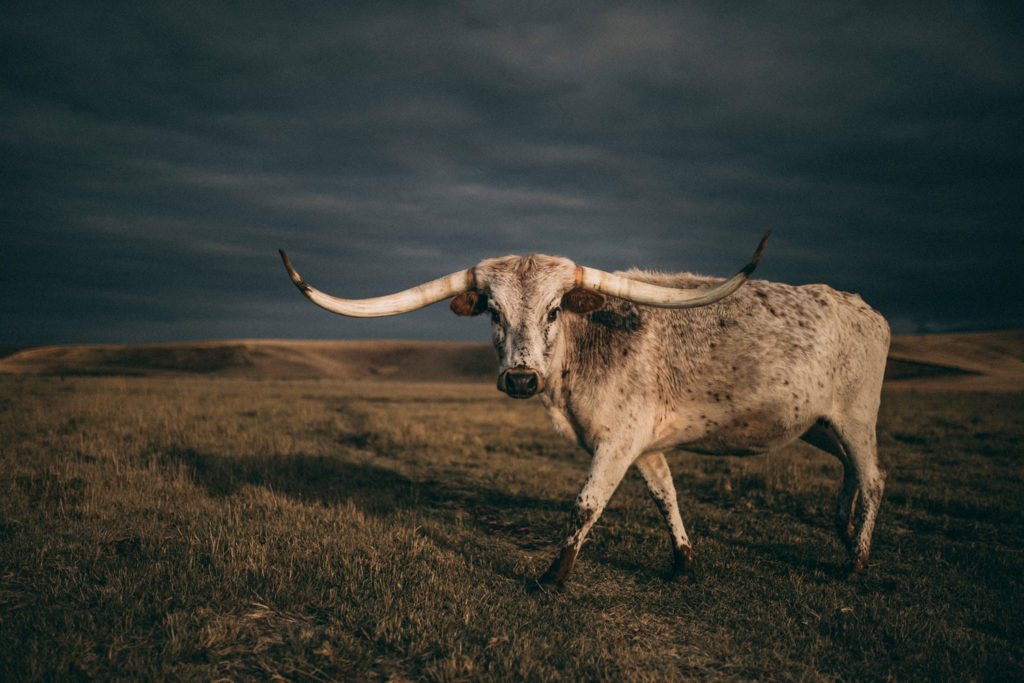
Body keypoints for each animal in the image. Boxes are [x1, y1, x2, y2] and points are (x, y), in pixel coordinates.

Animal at [279, 234, 890, 588]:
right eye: (493, 312)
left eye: (554, 310)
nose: (521, 378)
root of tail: (868, 310)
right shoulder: (642, 445)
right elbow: (665, 495)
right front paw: (682, 562)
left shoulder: (618, 441)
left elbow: (586, 504)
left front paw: (554, 576)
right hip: (819, 424)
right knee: (849, 473)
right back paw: (841, 533)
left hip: (856, 418)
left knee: (873, 477)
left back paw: (856, 560)